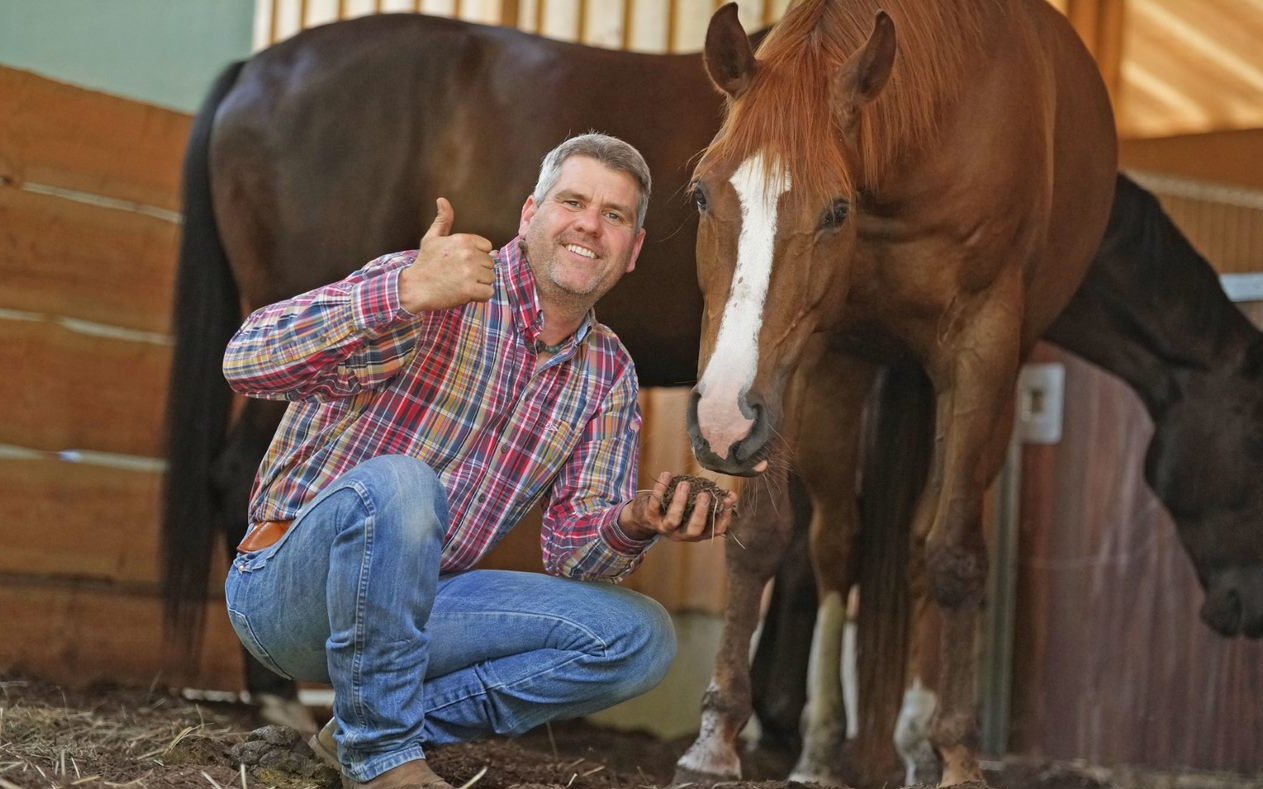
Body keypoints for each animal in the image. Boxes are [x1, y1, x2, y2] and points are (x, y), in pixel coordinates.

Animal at [682, 3, 1116, 782]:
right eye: (702, 193)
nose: (722, 419)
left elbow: (952, 556)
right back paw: (821, 747)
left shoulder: (980, 349)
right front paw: (715, 738)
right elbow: (760, 538)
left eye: (834, 210)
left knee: (921, 544)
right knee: (837, 543)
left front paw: (958, 753)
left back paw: (918, 740)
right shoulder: (809, 357)